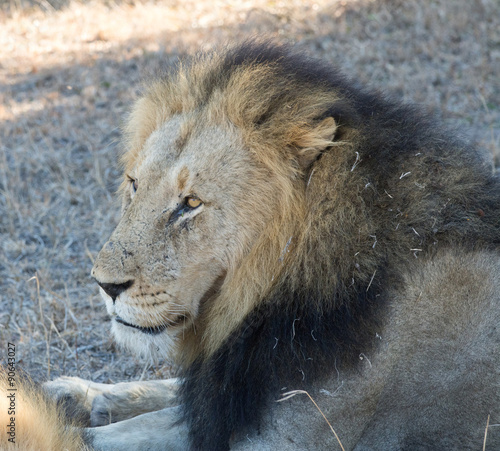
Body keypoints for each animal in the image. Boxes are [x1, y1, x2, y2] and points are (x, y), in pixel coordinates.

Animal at [8, 40, 500, 450]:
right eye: (134, 185)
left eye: (190, 203)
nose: (105, 286)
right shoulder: (230, 397)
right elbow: (171, 401)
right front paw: (72, 395)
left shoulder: (286, 436)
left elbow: (100, 439)